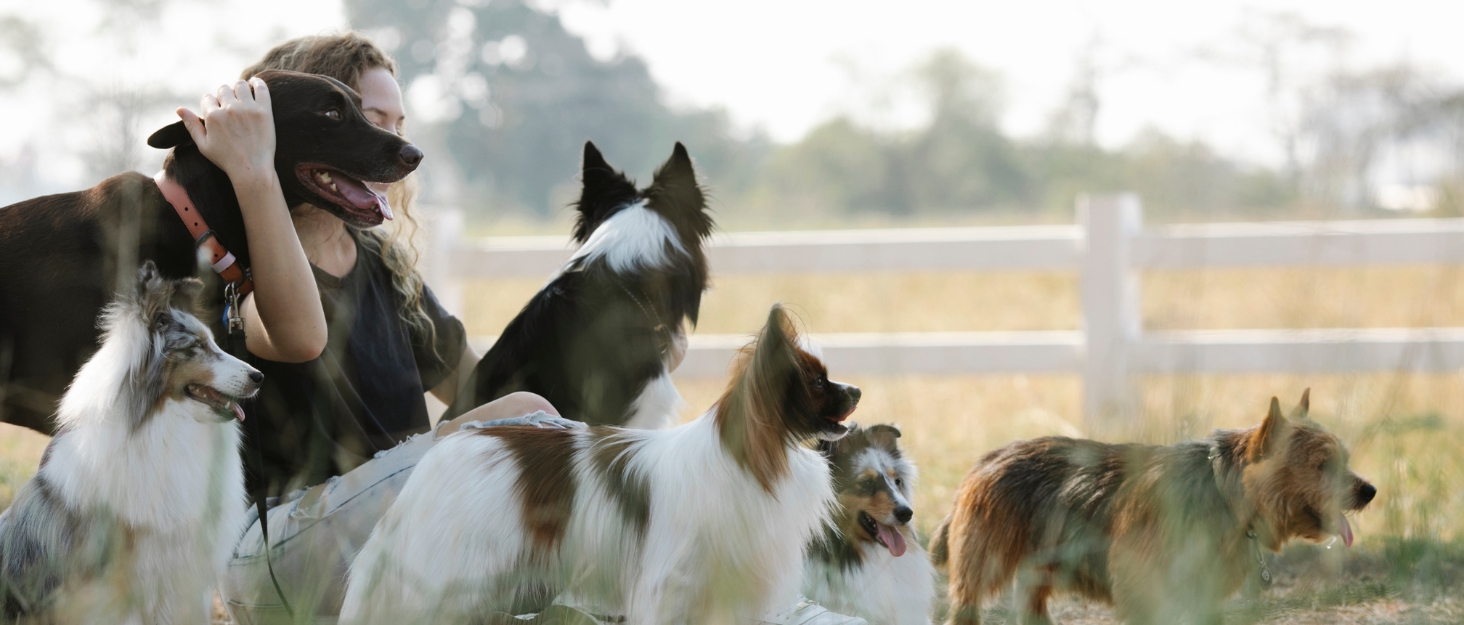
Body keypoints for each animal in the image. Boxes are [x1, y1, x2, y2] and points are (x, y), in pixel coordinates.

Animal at [931, 392, 1376, 625]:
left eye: (1345, 458)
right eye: (1323, 465)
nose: (1370, 490)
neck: (1225, 493)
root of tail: (983, 462)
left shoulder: (1203, 595)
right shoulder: (1143, 589)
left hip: (1037, 575)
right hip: (981, 572)